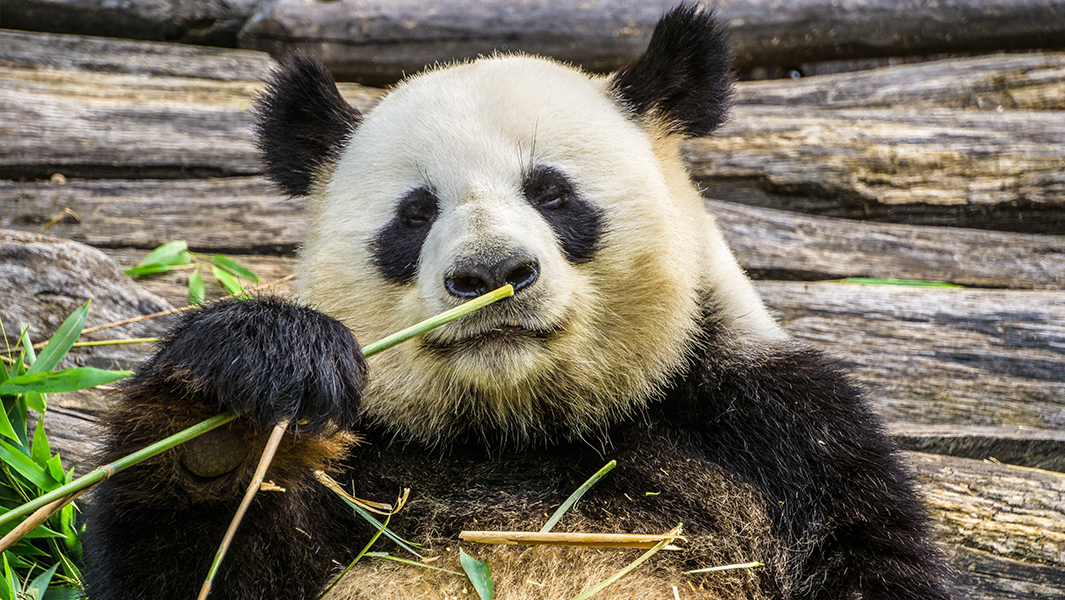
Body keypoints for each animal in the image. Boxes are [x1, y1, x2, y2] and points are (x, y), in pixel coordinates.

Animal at [83, 5, 954, 600]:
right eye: (414, 213)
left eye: (552, 193)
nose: (490, 272)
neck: (518, 426)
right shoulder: (372, 466)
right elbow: (194, 570)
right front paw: (232, 411)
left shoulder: (780, 440)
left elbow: (866, 551)